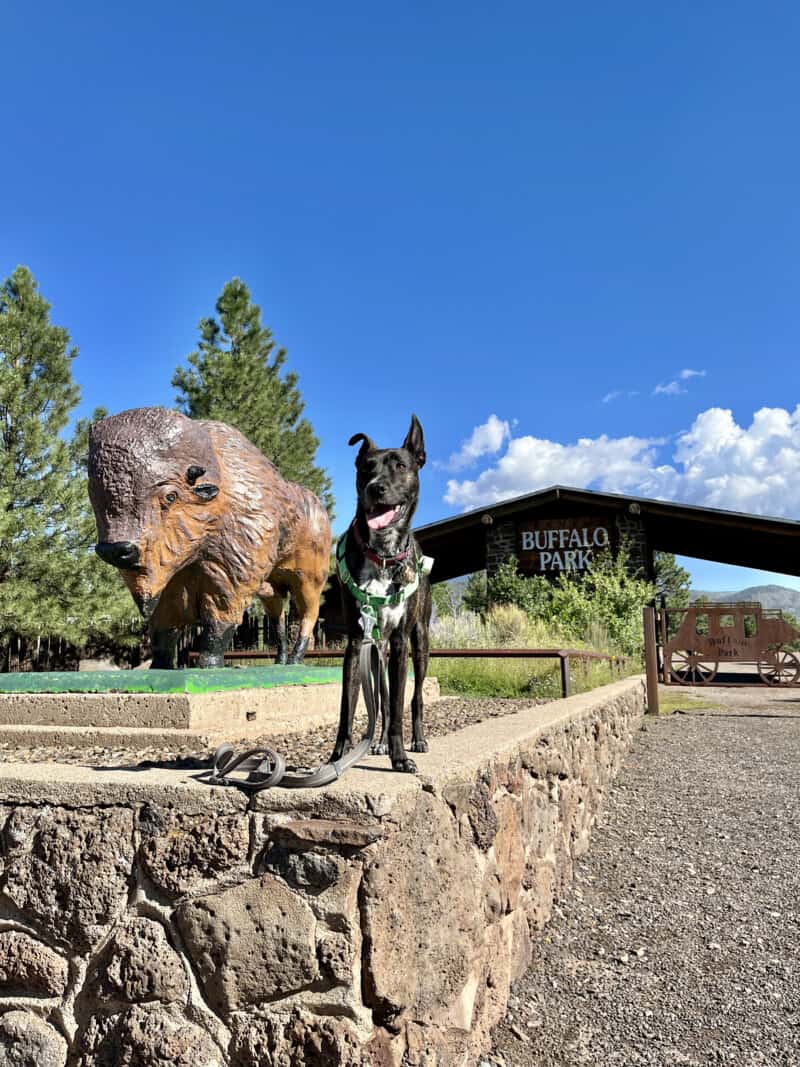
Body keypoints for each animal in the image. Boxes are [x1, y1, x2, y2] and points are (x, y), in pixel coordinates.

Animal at [330, 411, 433, 772]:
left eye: (401, 466)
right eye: (365, 468)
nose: (376, 488)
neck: (383, 554)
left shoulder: (401, 642)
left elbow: (401, 702)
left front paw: (400, 757)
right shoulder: (355, 643)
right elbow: (348, 709)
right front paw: (338, 758)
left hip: (420, 641)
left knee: (414, 698)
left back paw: (417, 739)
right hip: (377, 650)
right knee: (383, 700)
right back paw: (378, 743)